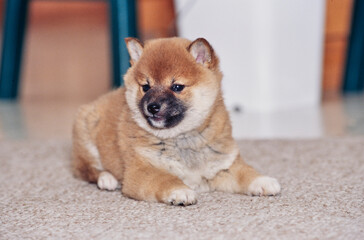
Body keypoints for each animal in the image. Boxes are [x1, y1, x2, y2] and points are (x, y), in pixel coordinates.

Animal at [72, 37, 282, 206]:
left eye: (177, 87)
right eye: (146, 87)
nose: (152, 107)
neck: (182, 138)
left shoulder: (223, 166)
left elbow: (246, 173)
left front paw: (262, 181)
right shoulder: (140, 171)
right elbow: (165, 180)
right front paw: (180, 191)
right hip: (85, 135)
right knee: (86, 170)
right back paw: (107, 178)